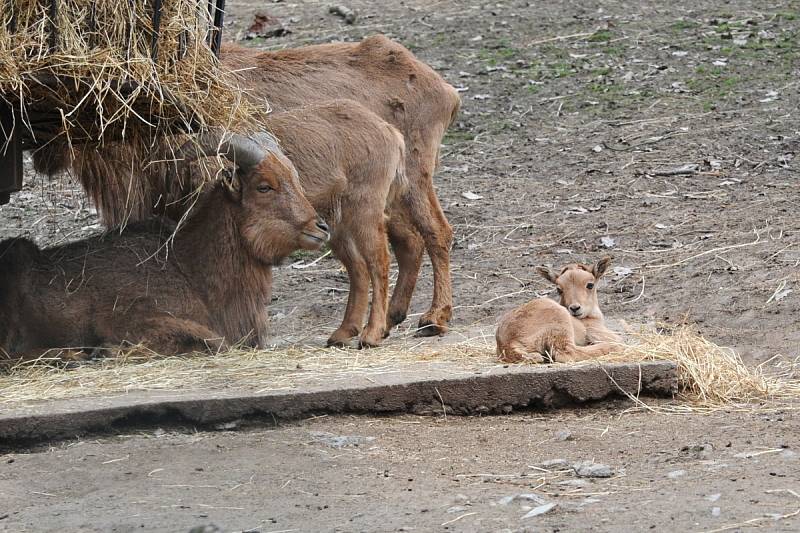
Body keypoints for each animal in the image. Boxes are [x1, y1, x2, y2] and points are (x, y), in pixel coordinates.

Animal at [1, 133, 328, 362]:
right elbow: (213, 341)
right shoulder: (128, 318)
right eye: (264, 186)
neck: (190, 269)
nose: (320, 228)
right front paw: (105, 352)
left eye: (295, 178)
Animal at [494, 256, 624, 364]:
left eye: (590, 285)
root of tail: (507, 344)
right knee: (567, 352)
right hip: (560, 323)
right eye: (559, 289)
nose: (574, 308)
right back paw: (610, 347)